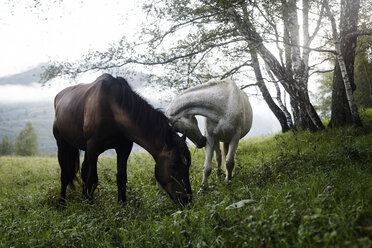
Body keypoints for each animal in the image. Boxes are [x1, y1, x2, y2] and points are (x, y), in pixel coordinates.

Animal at [53, 74, 192, 206]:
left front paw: (122, 205)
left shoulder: (123, 148)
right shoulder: (93, 147)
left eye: (188, 164)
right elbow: (92, 179)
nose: (187, 200)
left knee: (83, 171)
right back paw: (61, 203)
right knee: (65, 174)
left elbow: (121, 178)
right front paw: (91, 207)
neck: (112, 109)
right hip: (63, 144)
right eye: (174, 164)